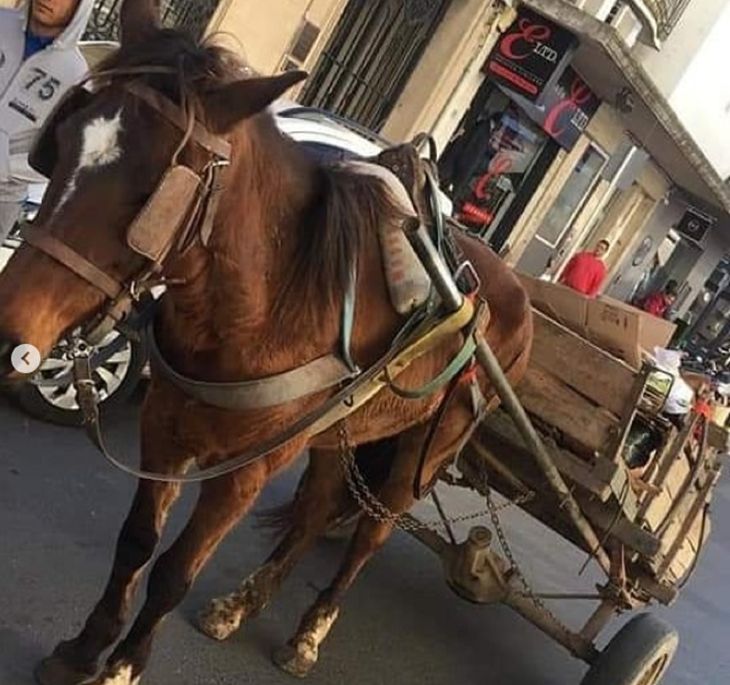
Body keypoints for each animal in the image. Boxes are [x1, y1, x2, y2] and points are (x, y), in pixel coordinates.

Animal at [0, 1, 532, 683]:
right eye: (60, 142)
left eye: (153, 189)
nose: (7, 333)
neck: (263, 303)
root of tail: (511, 284)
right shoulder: (165, 427)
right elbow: (137, 543)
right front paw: (84, 649)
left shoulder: (247, 471)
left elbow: (174, 572)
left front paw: (124, 665)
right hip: (341, 429)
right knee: (318, 505)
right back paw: (243, 602)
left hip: (428, 446)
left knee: (370, 534)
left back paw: (311, 629)